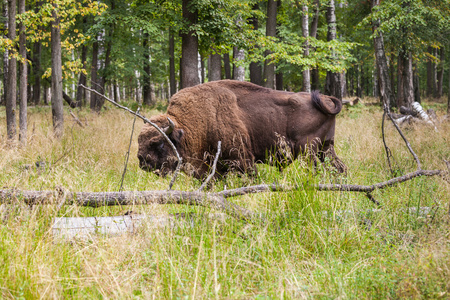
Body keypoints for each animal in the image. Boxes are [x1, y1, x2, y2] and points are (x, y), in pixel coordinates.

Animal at [136, 79, 344, 178]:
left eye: (159, 143)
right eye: (140, 141)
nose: (142, 160)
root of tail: (325, 99)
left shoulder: (242, 158)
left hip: (308, 150)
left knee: (316, 168)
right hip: (326, 147)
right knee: (339, 167)